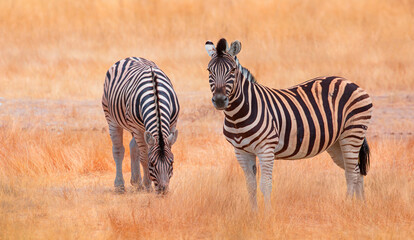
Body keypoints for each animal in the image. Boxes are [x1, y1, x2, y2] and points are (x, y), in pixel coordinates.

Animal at [102, 57, 180, 194]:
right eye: (152, 164)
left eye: (172, 162)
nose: (163, 191)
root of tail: (130, 57)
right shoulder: (137, 129)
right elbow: (144, 157)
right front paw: (148, 185)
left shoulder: (172, 124)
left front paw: (143, 183)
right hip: (112, 118)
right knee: (118, 150)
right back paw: (120, 185)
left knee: (133, 146)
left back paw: (136, 181)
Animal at [205, 38, 374, 209]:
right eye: (209, 71)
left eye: (232, 70)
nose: (219, 100)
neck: (237, 116)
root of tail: (348, 81)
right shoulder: (241, 152)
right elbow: (250, 186)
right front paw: (254, 214)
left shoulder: (266, 149)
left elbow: (265, 185)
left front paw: (267, 214)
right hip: (336, 142)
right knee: (356, 170)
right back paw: (361, 206)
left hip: (352, 132)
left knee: (351, 173)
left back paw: (347, 205)